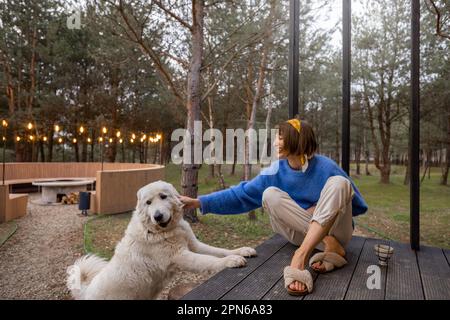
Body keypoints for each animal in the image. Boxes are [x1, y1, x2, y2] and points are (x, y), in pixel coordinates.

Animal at [67, 180, 256, 300]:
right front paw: (231, 261)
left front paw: (241, 251)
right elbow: (209, 260)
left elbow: (218, 251)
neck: (163, 230)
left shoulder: (194, 246)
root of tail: (85, 291)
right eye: (148, 202)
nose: (157, 216)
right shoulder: (181, 256)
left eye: (163, 196)